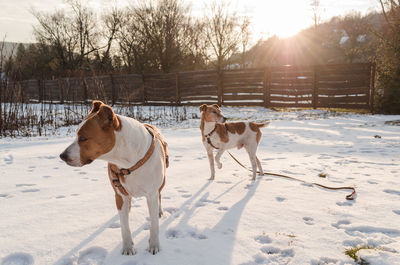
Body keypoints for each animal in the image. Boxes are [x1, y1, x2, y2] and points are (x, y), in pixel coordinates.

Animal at [58, 100, 166, 254]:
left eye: (83, 138)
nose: (62, 156)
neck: (127, 162)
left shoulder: (151, 193)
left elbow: (154, 225)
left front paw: (154, 245)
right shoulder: (120, 194)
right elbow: (124, 226)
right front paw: (127, 247)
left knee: (160, 196)